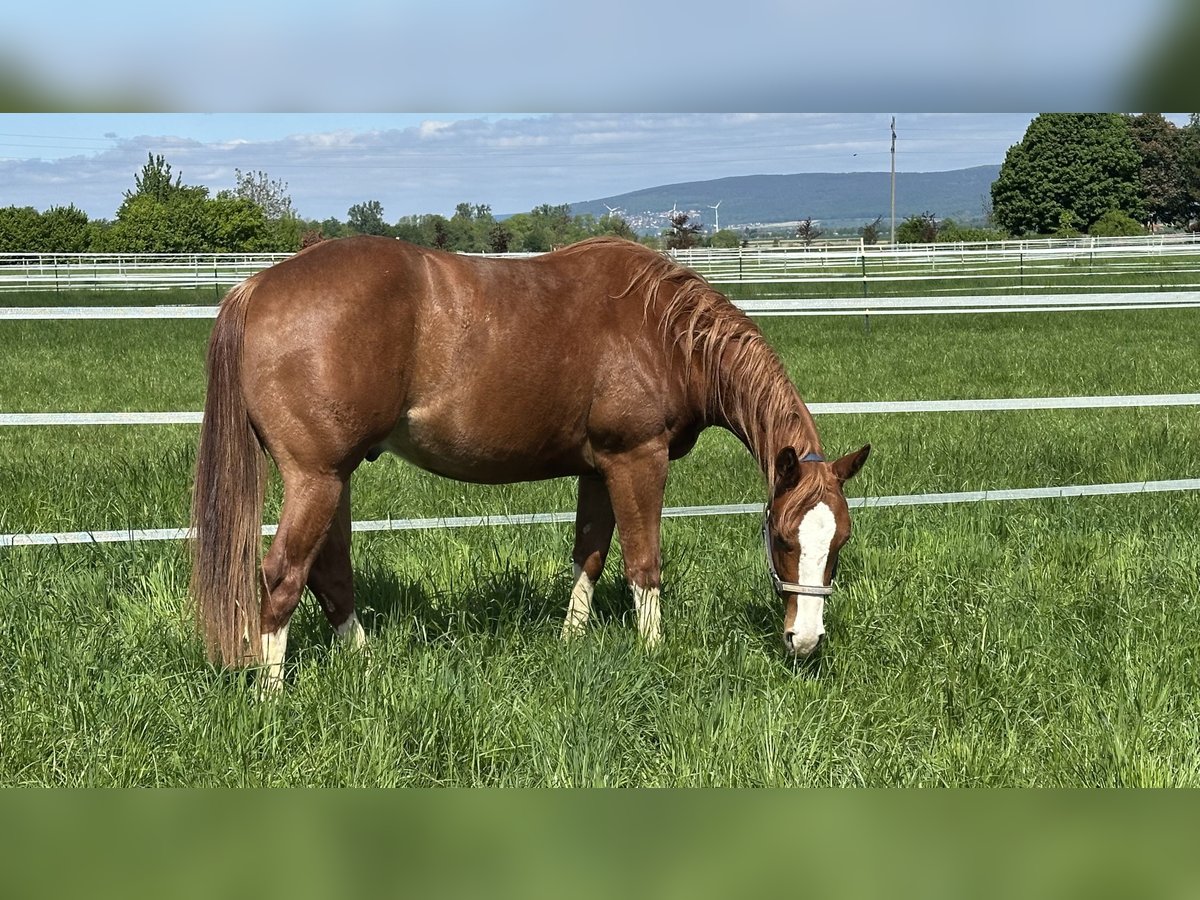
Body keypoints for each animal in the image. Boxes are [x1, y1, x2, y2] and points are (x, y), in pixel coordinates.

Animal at [190, 236, 869, 688]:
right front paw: (654, 653)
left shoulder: (598, 468)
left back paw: (363, 659)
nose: (806, 639)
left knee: (327, 569)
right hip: (318, 478)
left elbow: (589, 553)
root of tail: (258, 286)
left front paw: (571, 640)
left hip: (336, 477)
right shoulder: (637, 459)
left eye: (838, 542)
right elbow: (643, 562)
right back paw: (274, 696)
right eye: (782, 539)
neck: (664, 332)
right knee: (282, 573)